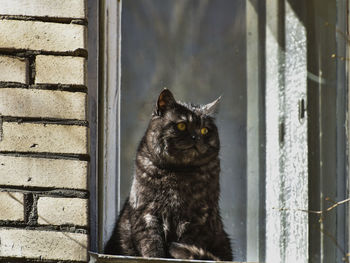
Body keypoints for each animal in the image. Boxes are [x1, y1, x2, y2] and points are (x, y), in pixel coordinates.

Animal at [105, 89, 234, 262]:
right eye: (182, 125)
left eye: (205, 130)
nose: (196, 137)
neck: (178, 174)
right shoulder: (146, 213)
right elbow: (152, 245)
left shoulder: (198, 219)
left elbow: (189, 242)